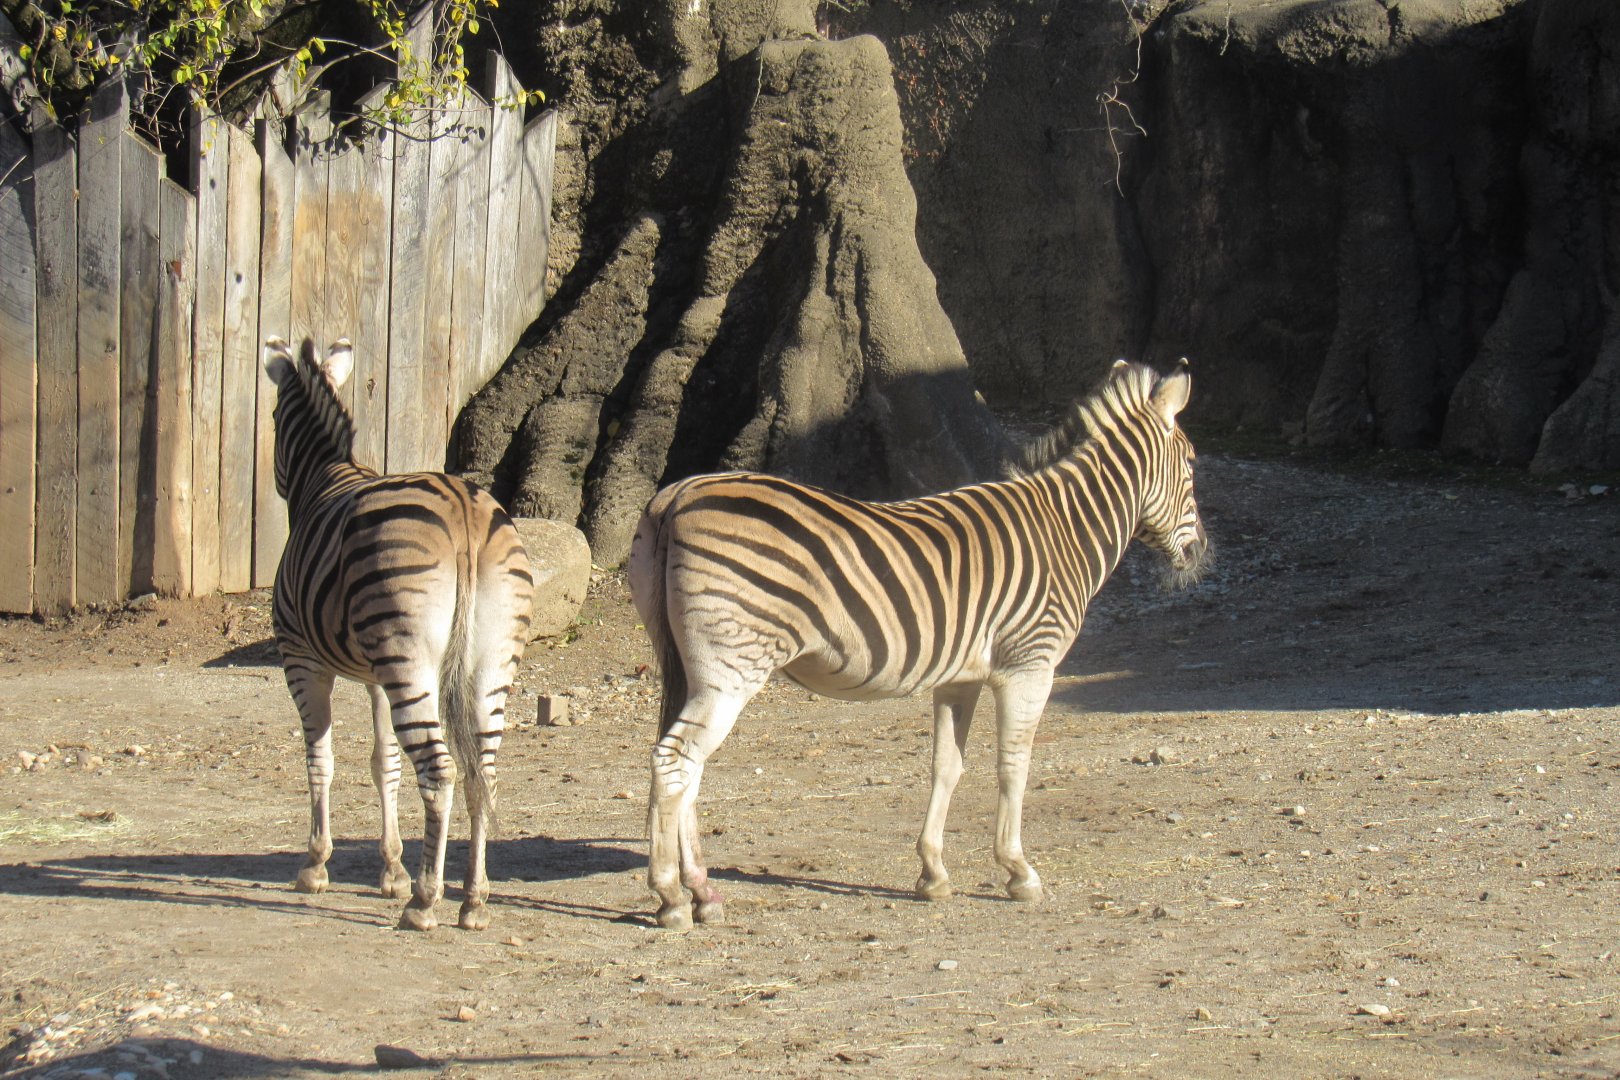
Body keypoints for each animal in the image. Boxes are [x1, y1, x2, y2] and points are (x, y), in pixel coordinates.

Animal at [262, 337, 535, 931]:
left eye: (270, 418)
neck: (326, 473)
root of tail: (463, 506)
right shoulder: (374, 676)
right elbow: (382, 762)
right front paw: (391, 870)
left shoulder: (301, 660)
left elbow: (321, 759)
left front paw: (315, 866)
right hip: (483, 664)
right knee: (482, 773)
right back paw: (474, 900)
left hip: (407, 659)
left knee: (439, 771)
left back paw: (426, 902)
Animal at [628, 359, 1210, 930]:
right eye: (1191, 464)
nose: (1200, 552)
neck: (1064, 530)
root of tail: (676, 496)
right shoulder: (1029, 664)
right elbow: (1013, 764)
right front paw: (1018, 871)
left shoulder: (960, 677)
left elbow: (946, 766)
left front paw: (933, 873)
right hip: (731, 670)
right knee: (676, 762)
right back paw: (671, 897)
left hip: (690, 665)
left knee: (685, 768)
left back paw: (703, 892)